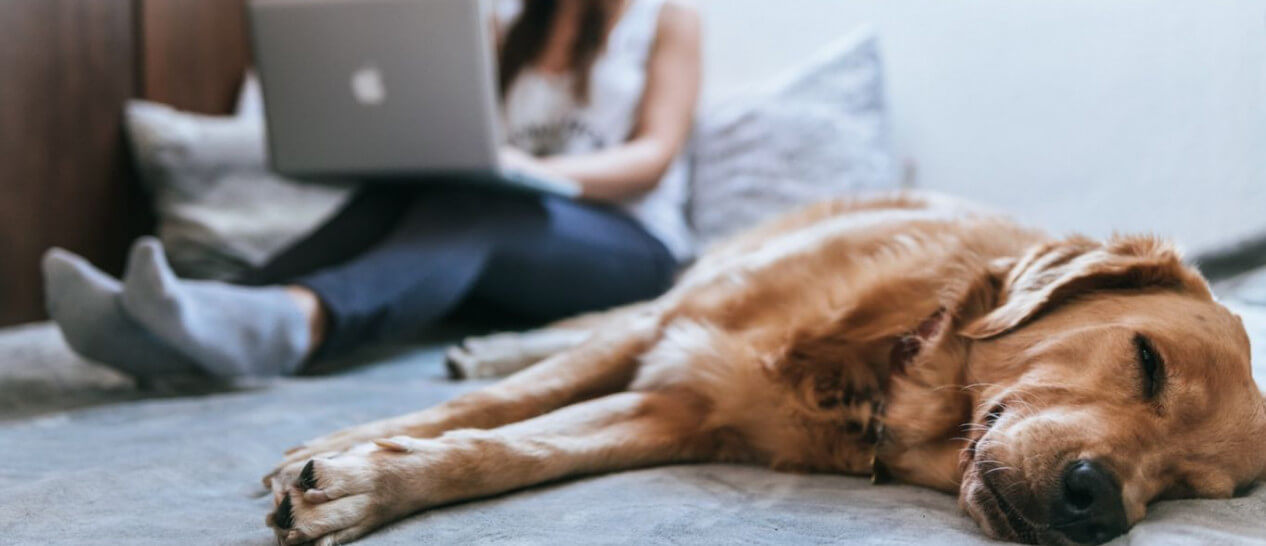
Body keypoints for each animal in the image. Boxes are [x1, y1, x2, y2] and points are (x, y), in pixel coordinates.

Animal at [262, 193, 1260, 546]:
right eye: (1146, 361)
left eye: (1188, 488)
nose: (1099, 505)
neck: (885, 361)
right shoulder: (673, 332)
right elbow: (513, 401)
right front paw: (346, 446)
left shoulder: (673, 412)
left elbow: (512, 449)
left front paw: (364, 484)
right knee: (586, 325)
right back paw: (487, 343)